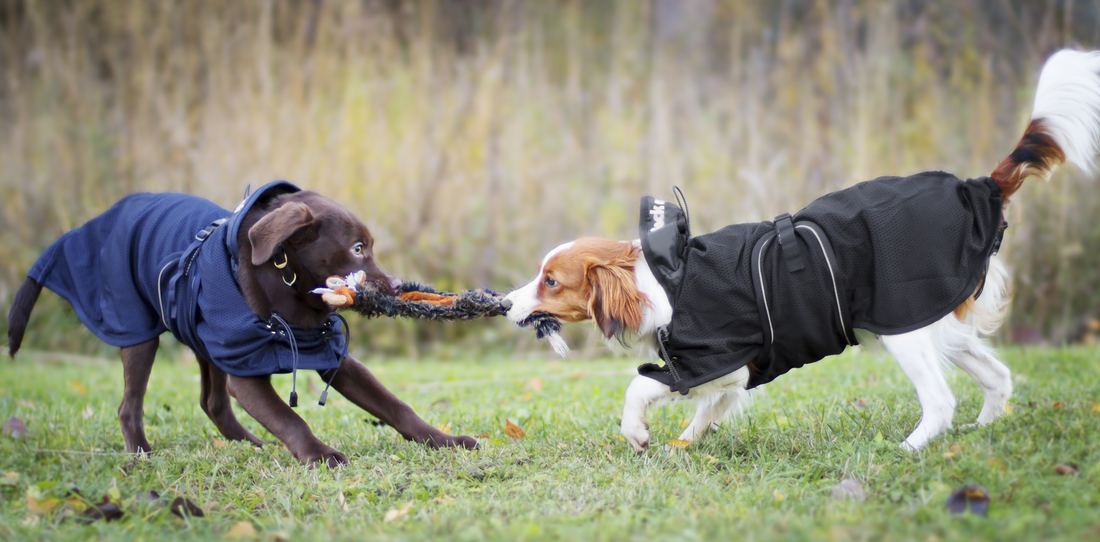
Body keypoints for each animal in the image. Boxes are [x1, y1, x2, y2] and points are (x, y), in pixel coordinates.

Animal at [6, 180, 477, 463]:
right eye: (358, 248)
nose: (396, 287)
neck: (290, 290)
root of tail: (96, 221)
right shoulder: (247, 373)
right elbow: (291, 419)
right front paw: (320, 455)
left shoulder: (334, 357)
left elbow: (396, 406)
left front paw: (445, 440)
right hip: (140, 332)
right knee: (130, 404)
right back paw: (142, 453)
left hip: (211, 344)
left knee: (212, 403)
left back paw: (251, 444)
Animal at [503, 48, 1100, 450]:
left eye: (551, 281)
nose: (506, 303)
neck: (663, 278)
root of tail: (979, 186)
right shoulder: (733, 374)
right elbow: (706, 412)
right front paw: (684, 442)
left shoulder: (715, 360)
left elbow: (639, 388)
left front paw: (638, 434)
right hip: (936, 323)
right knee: (997, 378)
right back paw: (980, 434)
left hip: (902, 327)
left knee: (940, 400)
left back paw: (909, 449)